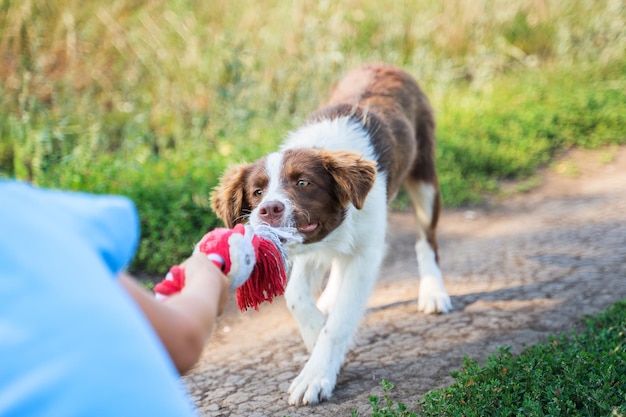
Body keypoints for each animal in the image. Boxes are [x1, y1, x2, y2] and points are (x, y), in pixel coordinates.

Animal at [212, 63, 450, 404]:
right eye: (257, 192)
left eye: (303, 183)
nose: (269, 209)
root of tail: (384, 64)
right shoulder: (310, 244)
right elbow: (296, 296)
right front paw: (315, 336)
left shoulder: (364, 252)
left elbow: (339, 321)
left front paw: (317, 374)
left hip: (425, 177)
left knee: (425, 240)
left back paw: (433, 292)